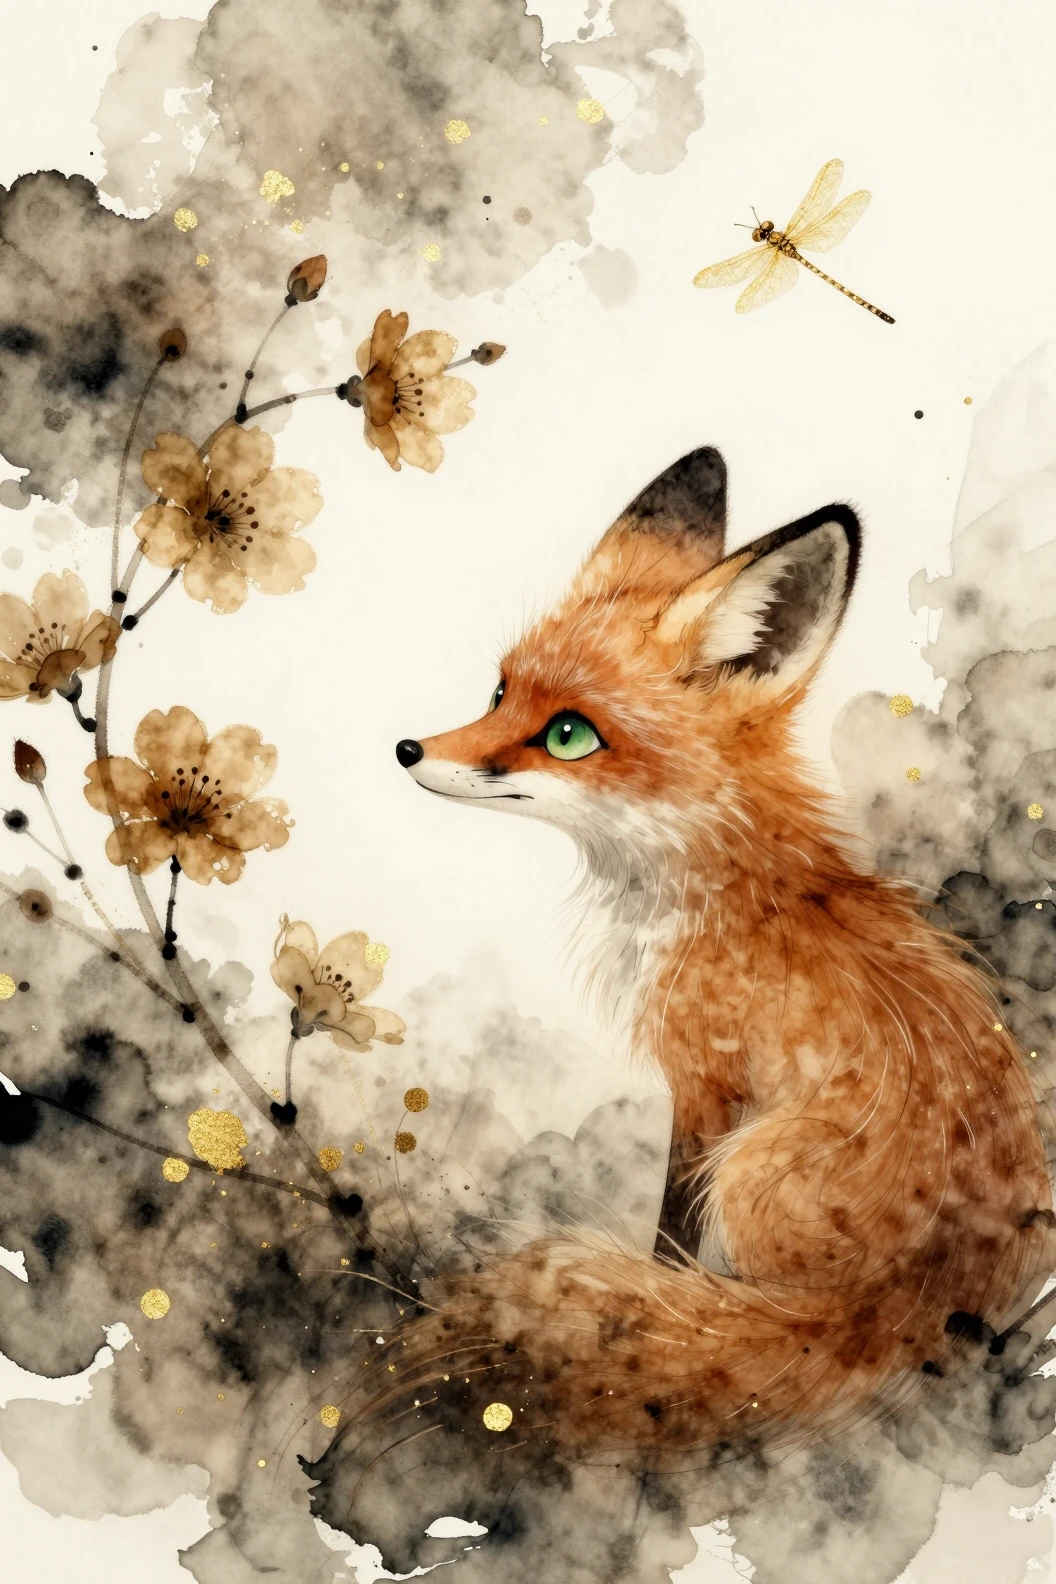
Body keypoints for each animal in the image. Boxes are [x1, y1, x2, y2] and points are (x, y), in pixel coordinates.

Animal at [379, 446, 1053, 1457]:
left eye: (568, 734)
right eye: (499, 694)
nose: (410, 749)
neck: (715, 891)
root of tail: (934, 1299)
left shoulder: (705, 1083)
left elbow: (671, 1233)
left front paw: (662, 1295)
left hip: (757, 1167)